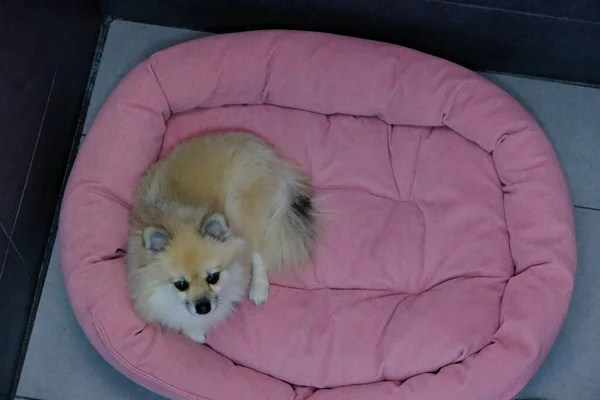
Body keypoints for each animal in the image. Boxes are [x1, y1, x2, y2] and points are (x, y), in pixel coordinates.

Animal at [123, 132, 316, 344]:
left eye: (214, 277)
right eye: (181, 285)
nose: (203, 307)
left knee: (259, 252)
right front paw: (195, 333)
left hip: (241, 213)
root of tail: (273, 157)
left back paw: (258, 289)